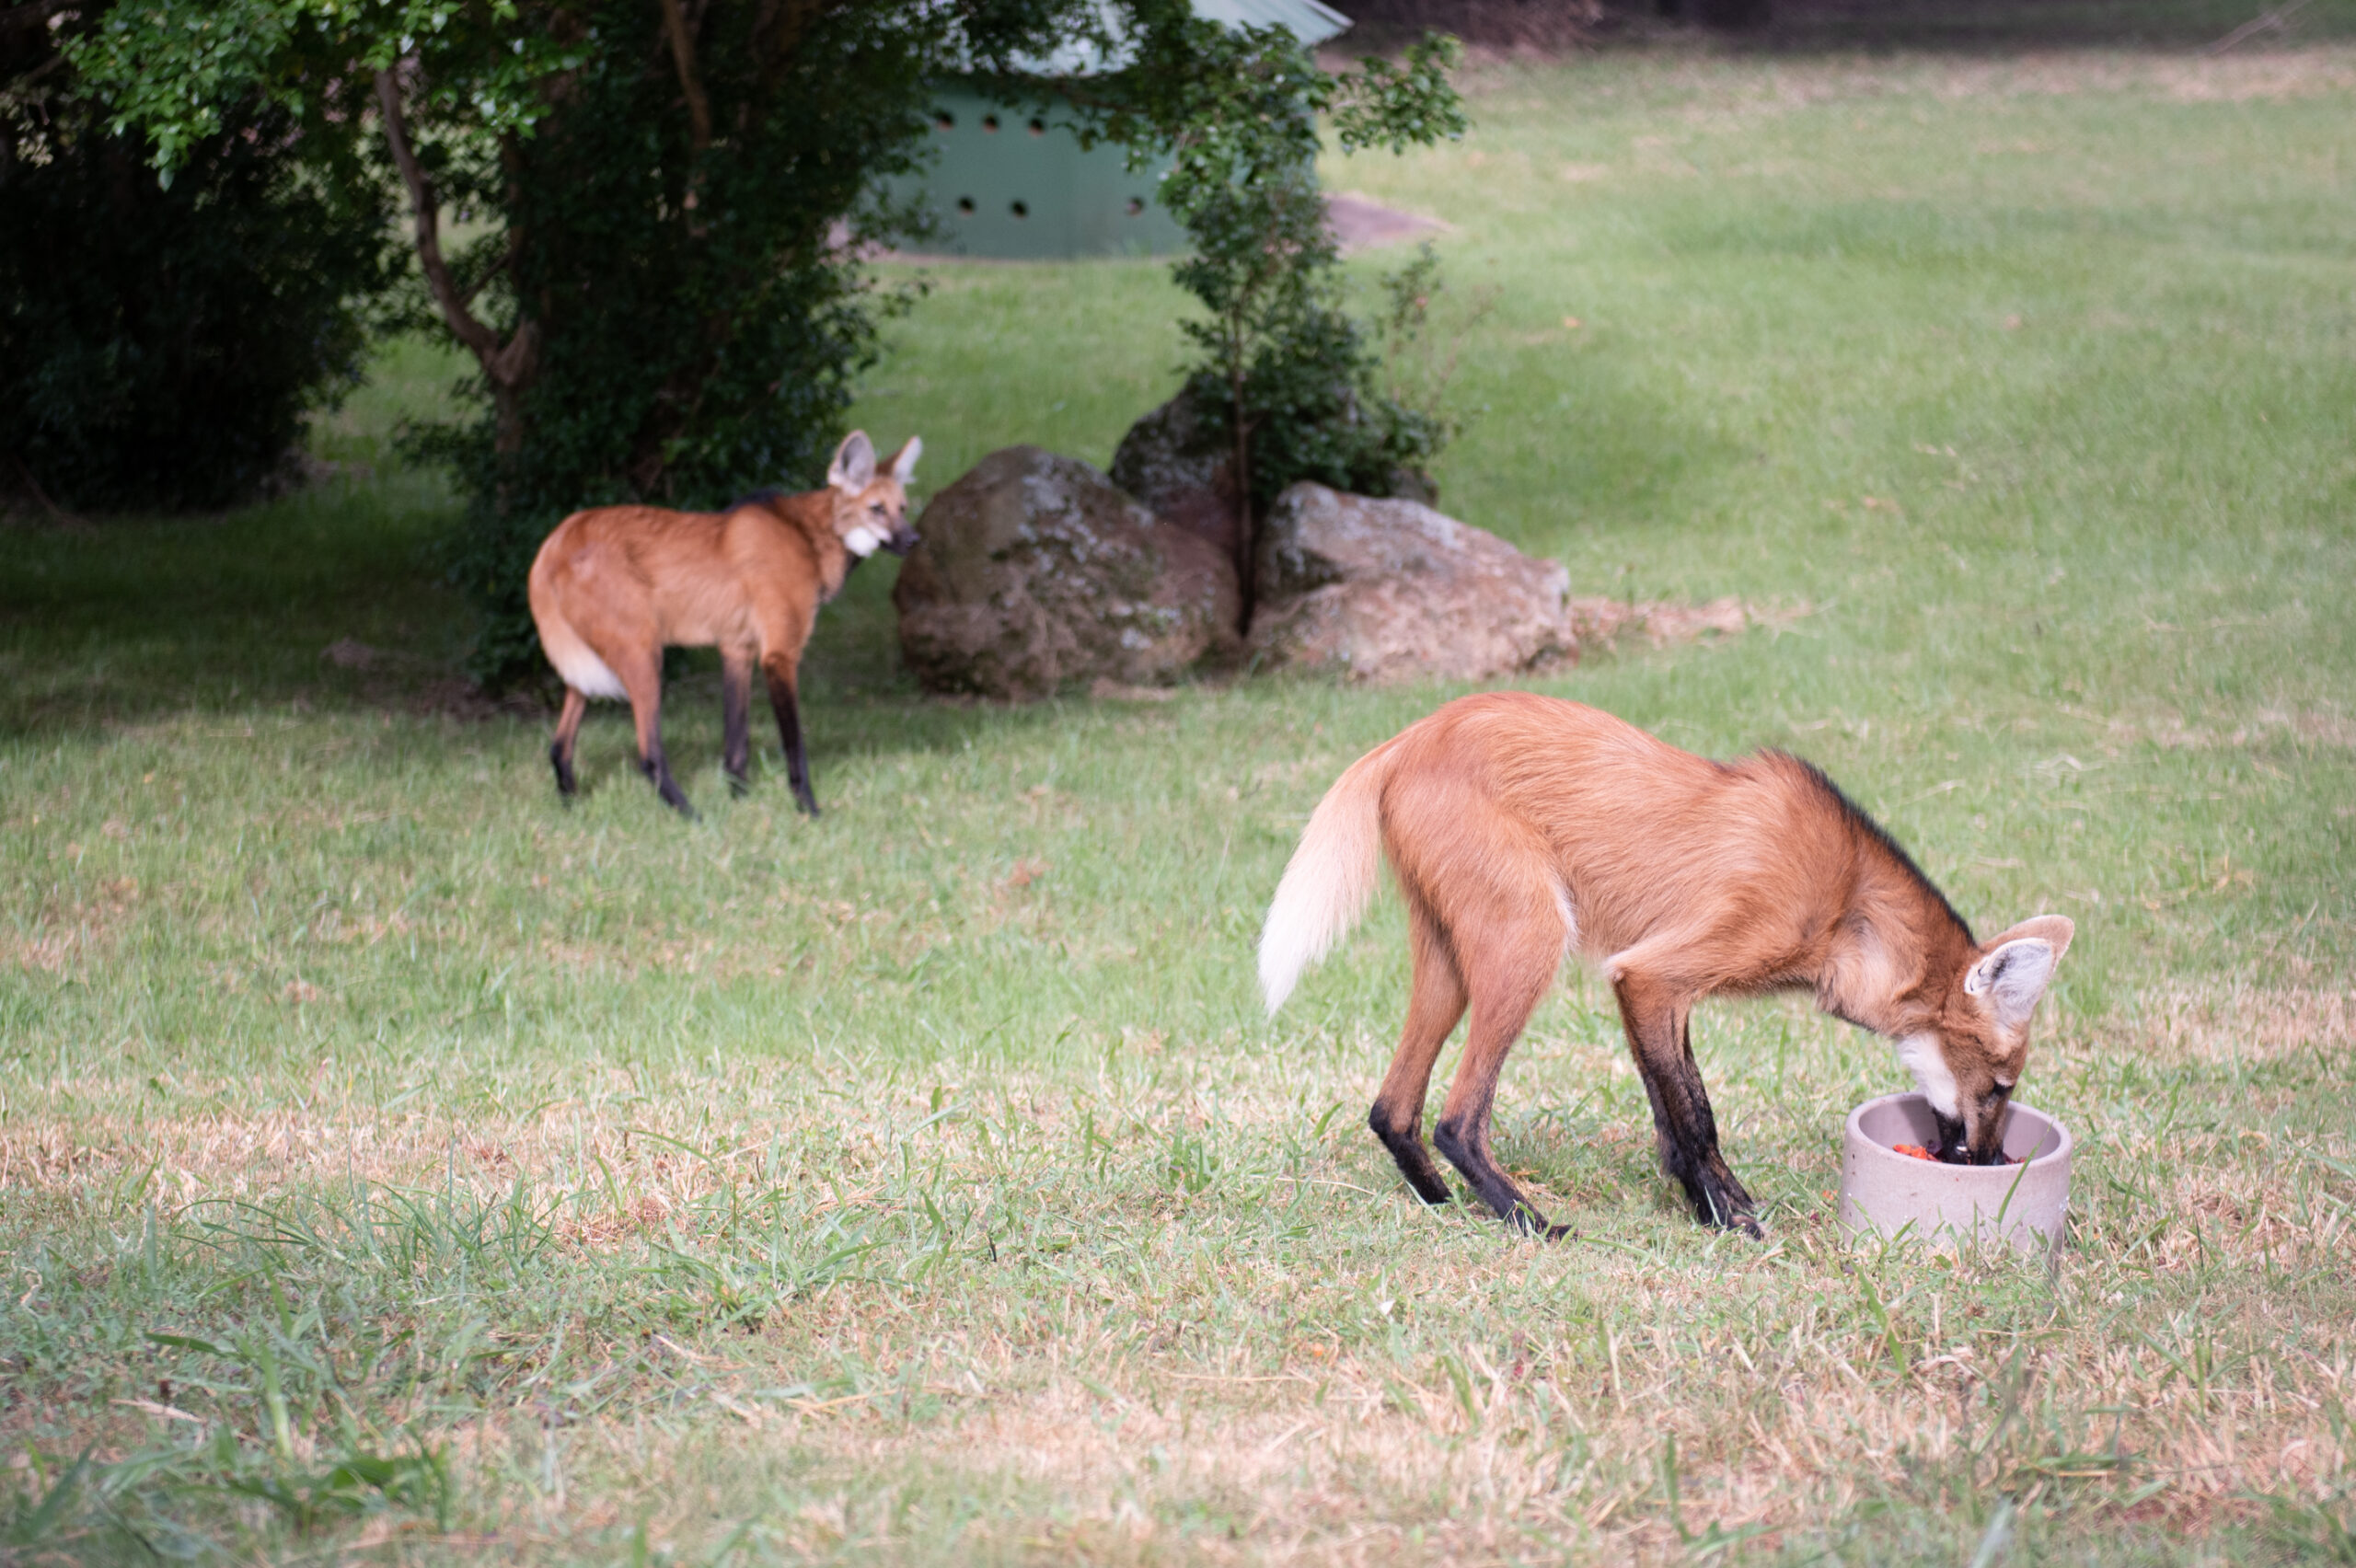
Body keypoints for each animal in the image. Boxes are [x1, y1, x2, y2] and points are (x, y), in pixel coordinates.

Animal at [1263, 692, 2073, 1233]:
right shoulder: (1652, 974)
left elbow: (1674, 1109)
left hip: (1452, 961)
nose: (1990, 1166)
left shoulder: (1652, 986)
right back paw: (1531, 1224)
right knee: (1457, 1119)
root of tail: (1408, 737)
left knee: (1392, 1108)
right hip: (1529, 942)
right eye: (1999, 1088)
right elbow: (1695, 1114)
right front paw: (1733, 1219)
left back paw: (1439, 1204)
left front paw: (1705, 1207)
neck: (1848, 903)